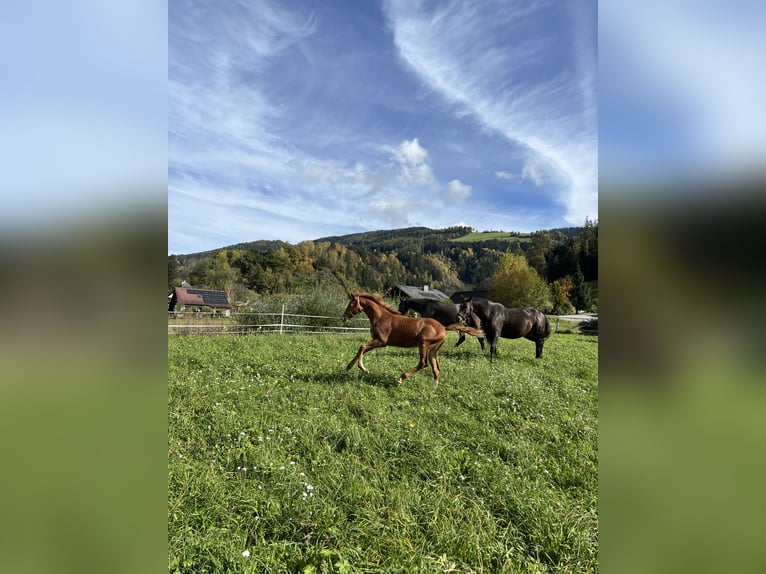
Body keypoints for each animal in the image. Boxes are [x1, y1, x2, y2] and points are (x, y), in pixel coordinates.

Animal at [344, 294, 484, 384]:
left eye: (351, 304)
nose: (343, 317)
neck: (380, 317)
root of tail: (443, 327)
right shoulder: (376, 341)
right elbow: (360, 350)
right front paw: (346, 369)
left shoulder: (381, 342)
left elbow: (362, 346)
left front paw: (364, 369)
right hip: (432, 350)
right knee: (436, 368)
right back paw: (433, 388)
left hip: (423, 344)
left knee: (423, 363)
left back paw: (400, 379)